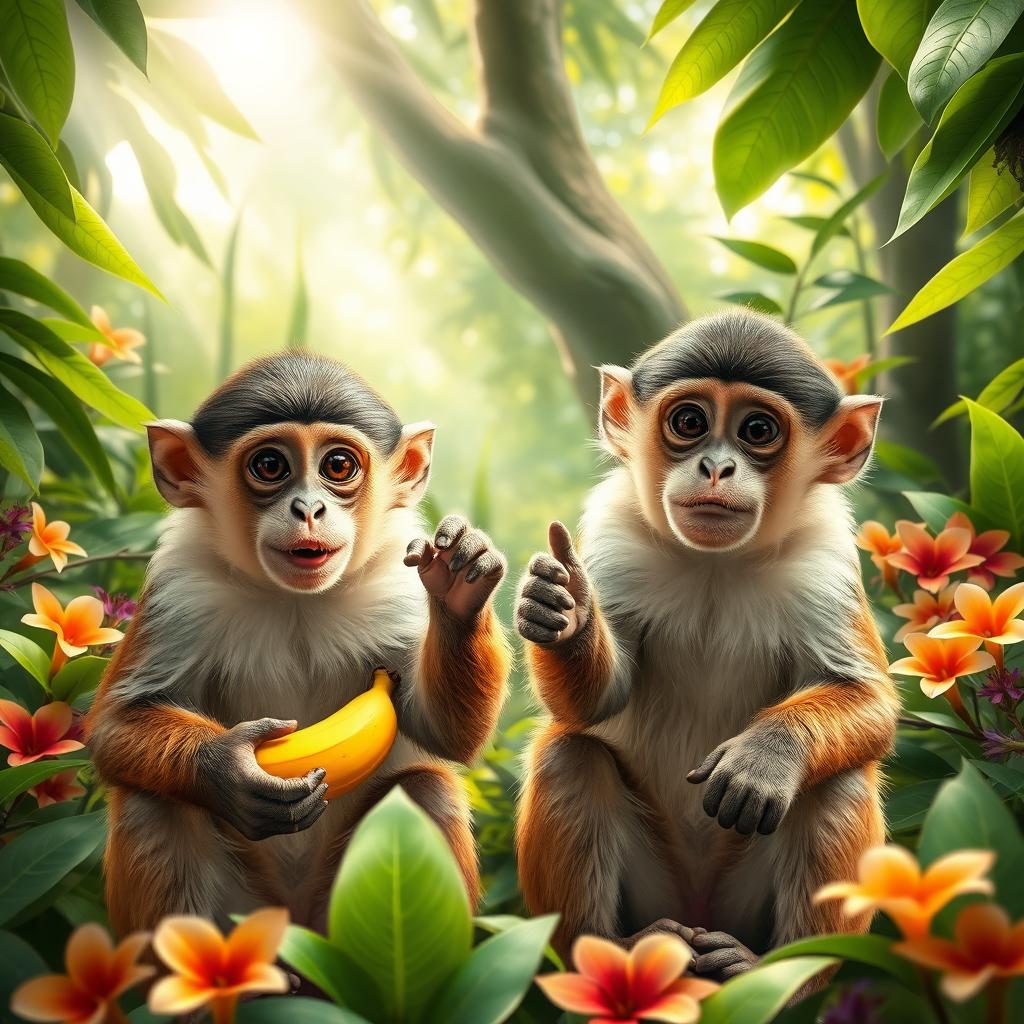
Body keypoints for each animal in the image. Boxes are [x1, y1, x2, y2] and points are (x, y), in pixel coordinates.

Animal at [87, 351, 511, 935]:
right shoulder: (180, 589)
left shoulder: (396, 585)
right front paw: (226, 768)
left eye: (338, 466)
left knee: (427, 788)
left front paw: (459, 582)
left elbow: (445, 734)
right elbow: (115, 724)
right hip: (247, 905)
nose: (308, 509)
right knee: (151, 802)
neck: (296, 602)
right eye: (270, 465)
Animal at [514, 310, 899, 981]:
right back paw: (607, 949)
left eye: (757, 430)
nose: (716, 468)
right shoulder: (614, 536)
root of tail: (696, 913)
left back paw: (777, 971)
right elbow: (595, 706)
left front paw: (766, 758)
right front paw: (566, 609)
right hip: (657, 890)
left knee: (839, 780)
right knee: (568, 753)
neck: (718, 564)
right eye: (689, 423)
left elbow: (867, 697)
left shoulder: (825, 557)